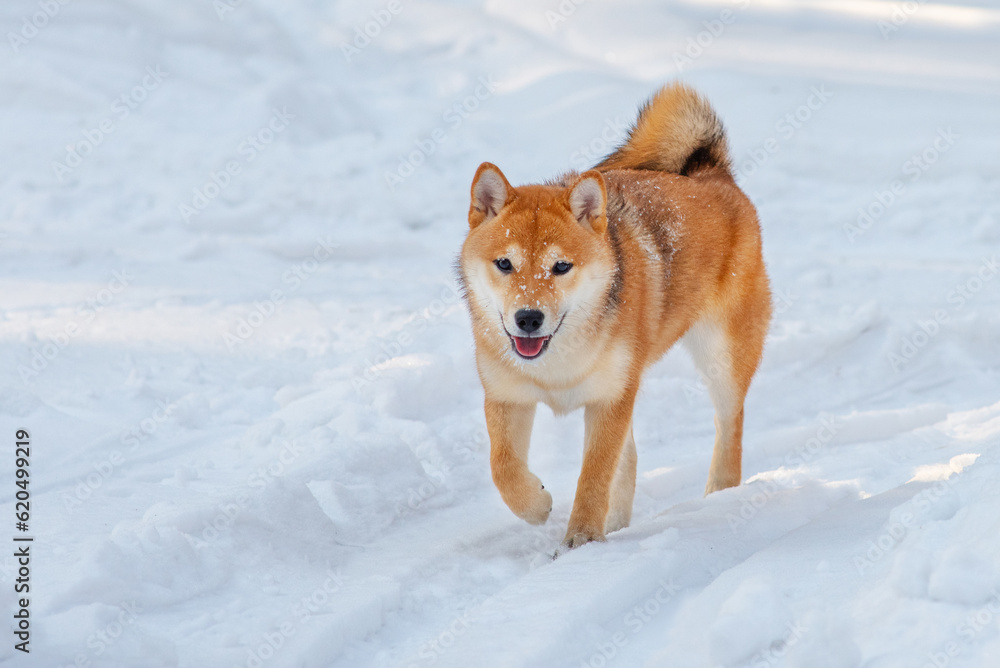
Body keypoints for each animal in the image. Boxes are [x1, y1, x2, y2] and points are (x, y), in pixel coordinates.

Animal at [458, 82, 768, 552]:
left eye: (561, 267)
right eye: (505, 264)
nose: (528, 317)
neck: (557, 363)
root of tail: (711, 172)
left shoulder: (609, 399)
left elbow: (593, 478)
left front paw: (581, 540)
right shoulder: (508, 397)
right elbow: (504, 469)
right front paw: (539, 504)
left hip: (722, 357)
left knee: (729, 425)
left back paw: (719, 496)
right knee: (633, 460)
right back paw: (620, 526)